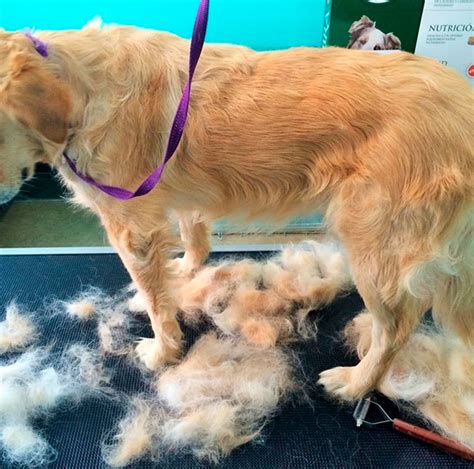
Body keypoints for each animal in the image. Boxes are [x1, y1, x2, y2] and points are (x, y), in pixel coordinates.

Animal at [0, 22, 472, 398]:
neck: (80, 84)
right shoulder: (176, 202)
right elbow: (191, 240)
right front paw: (183, 272)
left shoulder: (131, 228)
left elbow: (156, 303)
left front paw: (163, 350)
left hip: (373, 246)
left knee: (396, 330)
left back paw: (357, 382)